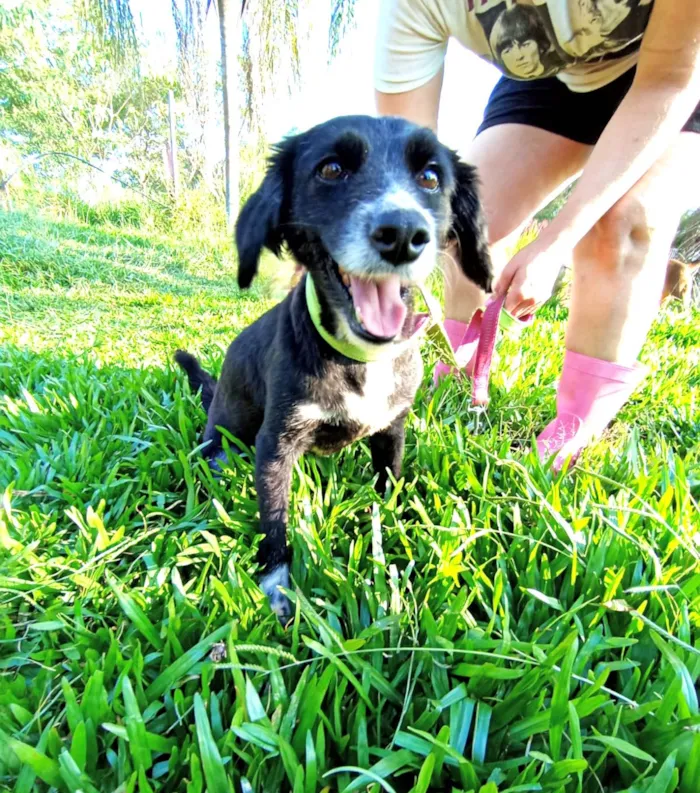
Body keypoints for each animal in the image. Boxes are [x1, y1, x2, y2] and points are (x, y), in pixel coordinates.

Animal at [175, 114, 492, 620]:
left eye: (430, 177)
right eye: (331, 169)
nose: (402, 234)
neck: (360, 357)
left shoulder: (392, 430)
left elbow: (389, 485)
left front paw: (395, 534)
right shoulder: (275, 444)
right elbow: (275, 521)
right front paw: (276, 584)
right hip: (222, 435)